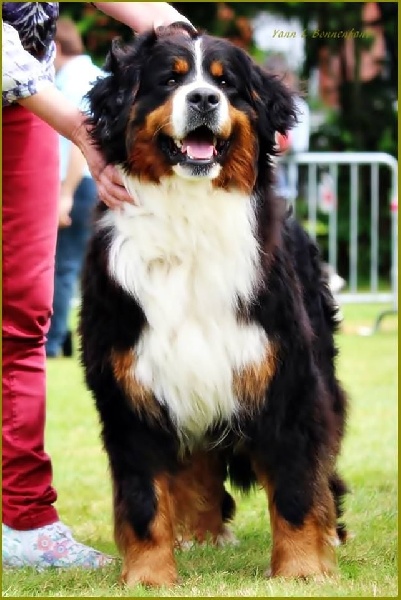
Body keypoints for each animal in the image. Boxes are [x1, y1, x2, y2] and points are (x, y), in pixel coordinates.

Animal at [78, 22, 346, 584]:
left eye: (227, 84)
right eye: (169, 80)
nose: (203, 98)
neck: (189, 219)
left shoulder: (283, 376)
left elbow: (295, 485)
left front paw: (302, 570)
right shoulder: (130, 385)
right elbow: (143, 499)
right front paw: (149, 577)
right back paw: (200, 534)